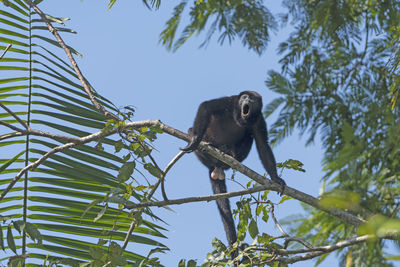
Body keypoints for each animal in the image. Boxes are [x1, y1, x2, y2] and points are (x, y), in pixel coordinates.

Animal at [181, 91, 284, 249]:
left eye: (253, 99)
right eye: (245, 97)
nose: (248, 100)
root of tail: (216, 167)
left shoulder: (259, 119)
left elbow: (263, 144)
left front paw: (275, 178)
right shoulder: (229, 102)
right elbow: (206, 106)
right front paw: (196, 139)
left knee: (249, 136)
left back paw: (230, 153)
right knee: (190, 129)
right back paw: (205, 144)